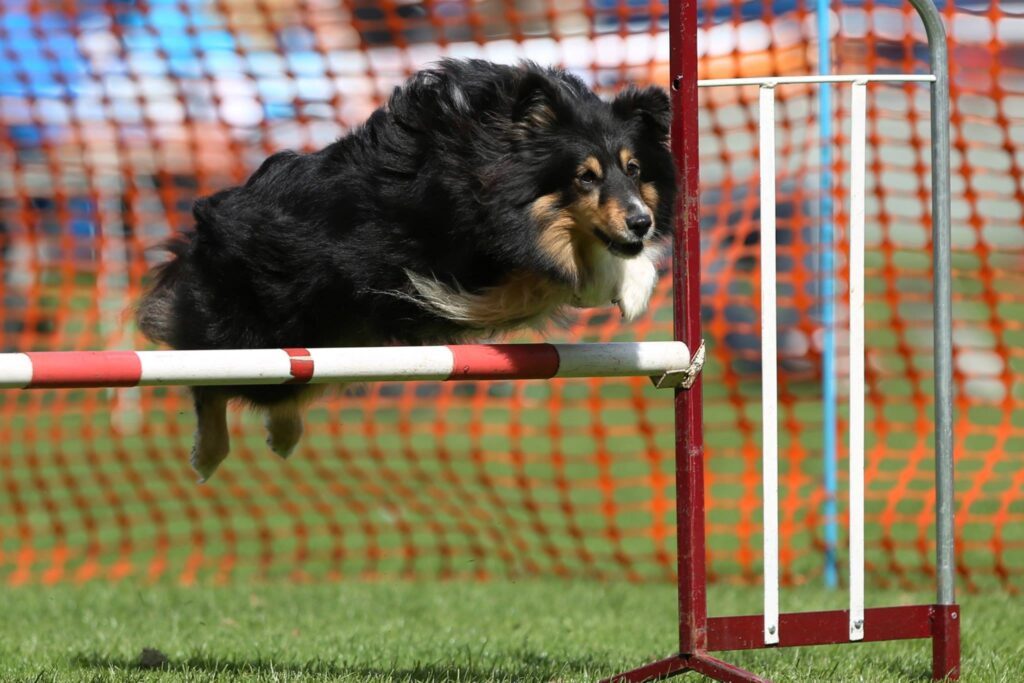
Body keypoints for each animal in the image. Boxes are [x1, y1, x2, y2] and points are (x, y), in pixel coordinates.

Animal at [135, 59, 677, 482]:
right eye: (585, 177)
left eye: (633, 169)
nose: (641, 221)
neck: (492, 158)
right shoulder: (463, 260)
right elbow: (556, 272)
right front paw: (622, 284)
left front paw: (634, 279)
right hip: (257, 335)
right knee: (209, 378)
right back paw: (208, 455)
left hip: (329, 339)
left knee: (289, 382)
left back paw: (284, 434)